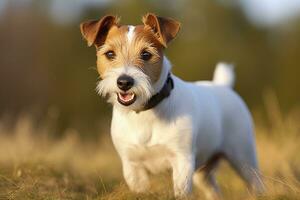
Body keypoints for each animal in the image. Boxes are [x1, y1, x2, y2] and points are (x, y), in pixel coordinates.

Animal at [81, 13, 264, 198]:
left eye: (146, 54)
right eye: (110, 54)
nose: (124, 82)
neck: (145, 112)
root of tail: (222, 85)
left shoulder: (182, 161)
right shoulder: (132, 166)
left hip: (244, 159)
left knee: (257, 183)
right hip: (203, 173)